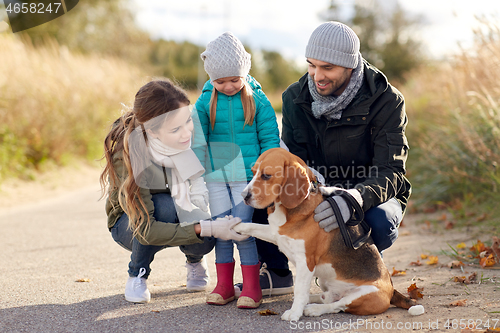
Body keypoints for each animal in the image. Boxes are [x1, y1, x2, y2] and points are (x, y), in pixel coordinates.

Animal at [233, 147, 414, 320]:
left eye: (266, 176)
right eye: (253, 172)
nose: (244, 196)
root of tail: (392, 290)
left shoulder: (305, 261)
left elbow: (300, 290)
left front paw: (294, 313)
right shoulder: (277, 233)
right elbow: (252, 226)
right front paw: (232, 225)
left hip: (364, 294)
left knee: (336, 306)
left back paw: (313, 309)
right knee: (327, 298)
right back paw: (312, 301)